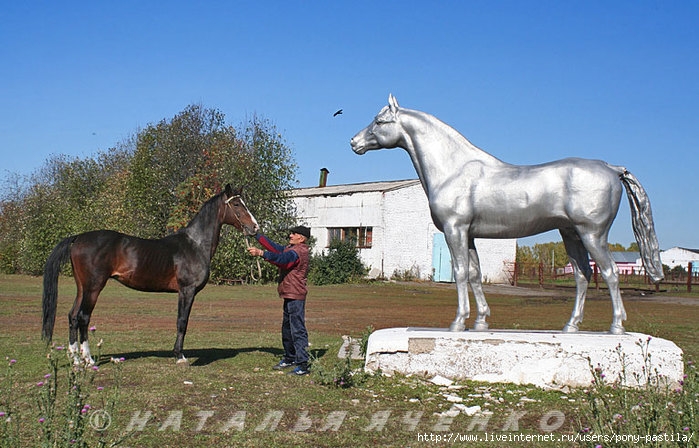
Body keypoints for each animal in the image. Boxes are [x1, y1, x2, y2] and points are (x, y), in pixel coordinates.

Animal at [41, 185, 260, 364]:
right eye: (237, 204)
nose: (255, 227)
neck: (195, 244)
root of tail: (78, 238)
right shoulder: (187, 290)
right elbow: (182, 321)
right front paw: (179, 356)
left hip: (82, 288)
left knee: (72, 316)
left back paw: (76, 359)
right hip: (94, 287)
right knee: (83, 318)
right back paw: (88, 359)